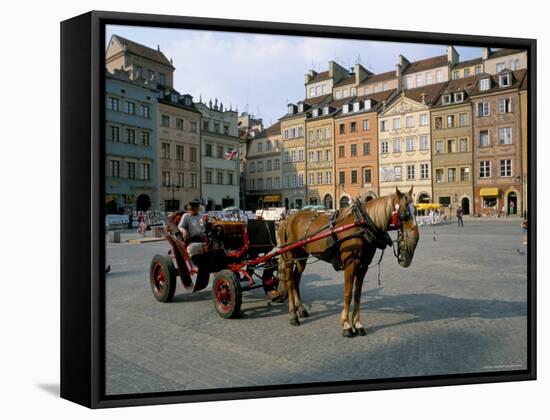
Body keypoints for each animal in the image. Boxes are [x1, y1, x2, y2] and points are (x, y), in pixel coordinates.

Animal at [278, 187, 420, 338]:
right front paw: (346, 325)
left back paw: (301, 309)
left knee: (296, 279)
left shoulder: (363, 266)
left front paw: (357, 324)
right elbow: (347, 294)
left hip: (302, 257)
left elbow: (357, 294)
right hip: (289, 257)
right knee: (289, 281)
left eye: (416, 211)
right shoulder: (350, 265)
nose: (415, 239)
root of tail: (287, 219)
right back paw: (293, 315)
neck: (362, 224)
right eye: (404, 214)